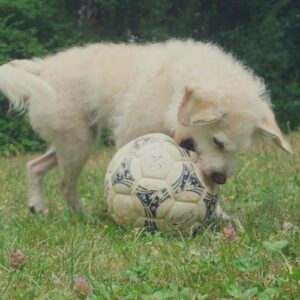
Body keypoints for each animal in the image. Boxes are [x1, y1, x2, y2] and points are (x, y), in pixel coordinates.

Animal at [0, 39, 290, 214]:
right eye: (218, 141)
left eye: (238, 150)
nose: (221, 178)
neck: (174, 88)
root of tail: (42, 68)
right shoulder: (131, 137)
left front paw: (219, 216)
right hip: (76, 144)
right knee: (65, 185)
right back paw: (83, 217)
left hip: (74, 143)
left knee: (35, 166)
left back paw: (37, 207)